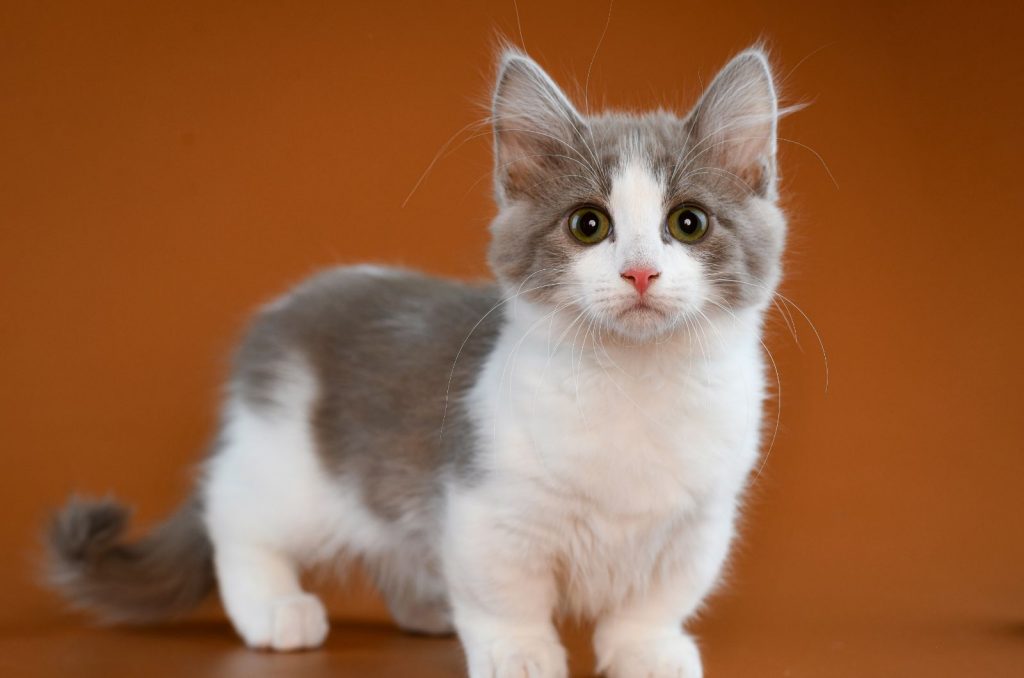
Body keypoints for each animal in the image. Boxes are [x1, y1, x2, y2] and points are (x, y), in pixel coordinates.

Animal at [44, 43, 786, 678]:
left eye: (687, 223)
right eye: (588, 225)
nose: (639, 273)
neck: (636, 384)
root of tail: (282, 315)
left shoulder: (695, 523)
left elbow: (655, 600)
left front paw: (648, 651)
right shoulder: (484, 502)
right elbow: (505, 593)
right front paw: (520, 652)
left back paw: (427, 606)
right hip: (288, 465)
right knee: (233, 515)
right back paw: (275, 609)